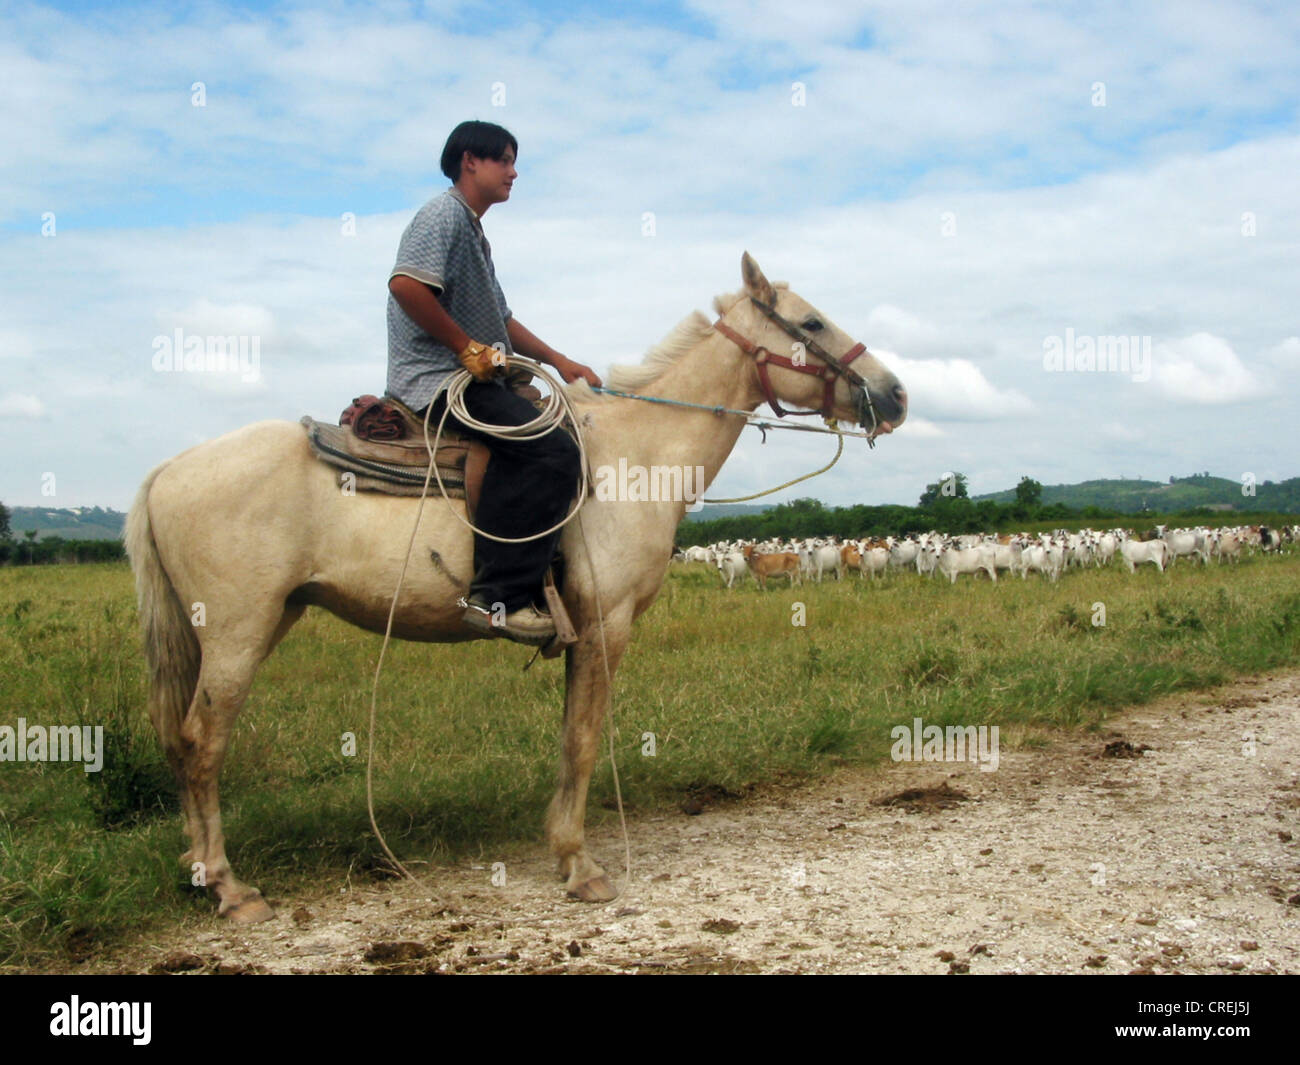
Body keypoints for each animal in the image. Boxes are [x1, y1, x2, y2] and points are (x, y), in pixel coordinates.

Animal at [126, 253, 909, 920]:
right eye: (811, 323)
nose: (896, 394)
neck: (636, 455)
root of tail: (165, 470)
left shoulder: (582, 630)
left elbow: (568, 736)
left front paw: (563, 847)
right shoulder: (607, 624)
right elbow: (585, 739)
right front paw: (581, 865)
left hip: (259, 619)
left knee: (182, 742)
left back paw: (199, 870)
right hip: (239, 630)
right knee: (201, 741)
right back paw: (229, 887)